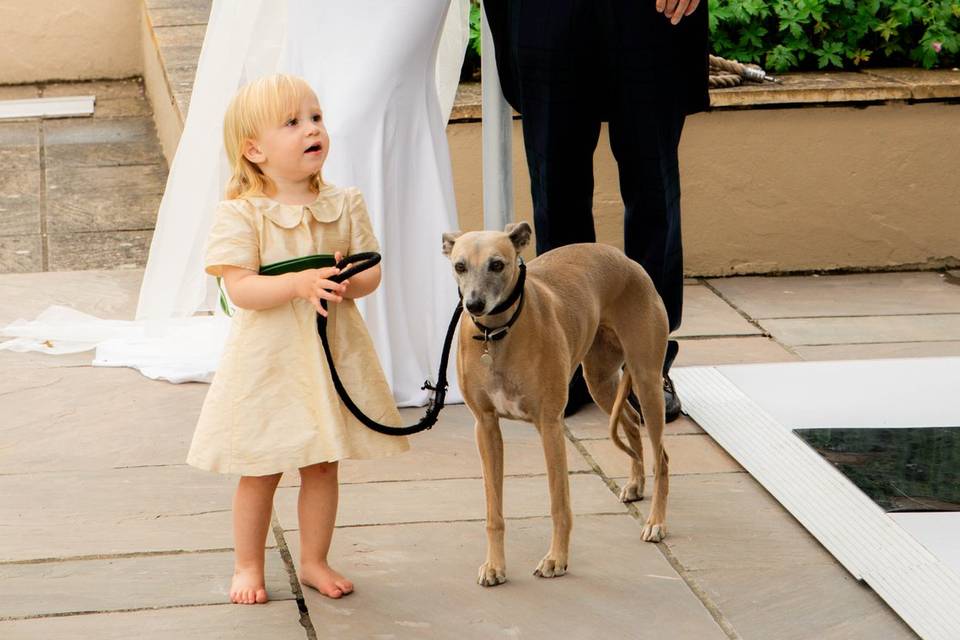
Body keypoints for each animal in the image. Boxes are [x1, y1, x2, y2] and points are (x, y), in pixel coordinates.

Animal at [440, 221, 668, 584]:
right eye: (459, 266)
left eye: (497, 264)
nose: (474, 305)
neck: (497, 334)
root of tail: (625, 259)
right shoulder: (486, 426)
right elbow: (494, 512)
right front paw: (495, 566)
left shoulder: (550, 425)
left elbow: (559, 504)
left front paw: (556, 559)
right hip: (599, 379)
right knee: (632, 423)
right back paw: (635, 484)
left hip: (647, 380)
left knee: (662, 457)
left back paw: (656, 522)